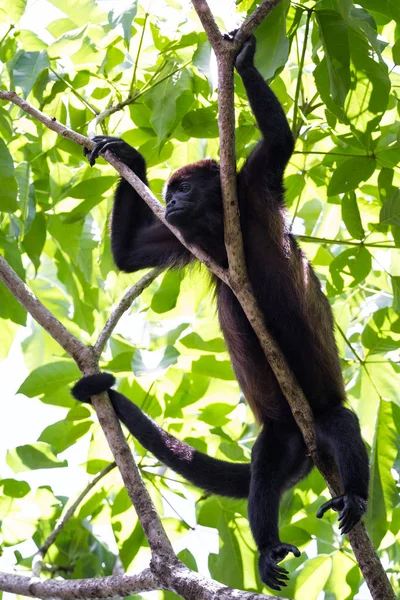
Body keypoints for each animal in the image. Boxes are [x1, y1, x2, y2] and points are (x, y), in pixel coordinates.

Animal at [75, 36, 368, 592]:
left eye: (184, 189)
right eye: (169, 194)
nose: (169, 201)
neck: (216, 225)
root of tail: (305, 440)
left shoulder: (252, 184)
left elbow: (279, 141)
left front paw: (245, 60)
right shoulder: (180, 235)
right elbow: (128, 257)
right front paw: (128, 155)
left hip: (321, 416)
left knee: (343, 423)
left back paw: (356, 497)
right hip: (279, 437)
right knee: (263, 476)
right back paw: (268, 546)